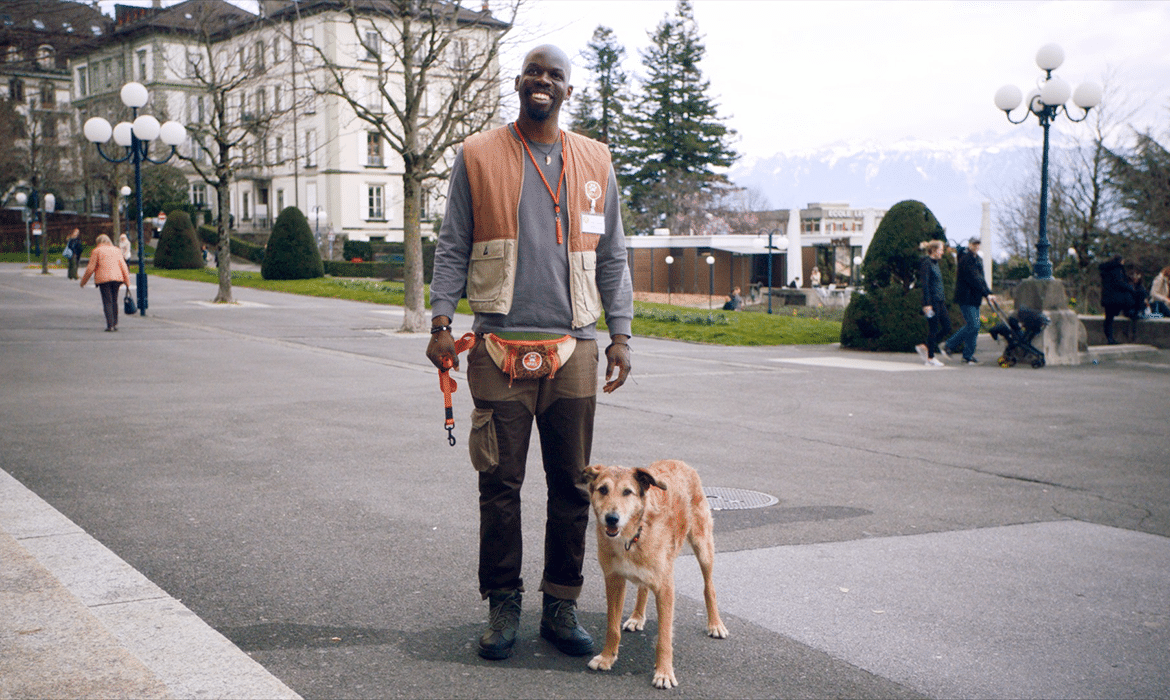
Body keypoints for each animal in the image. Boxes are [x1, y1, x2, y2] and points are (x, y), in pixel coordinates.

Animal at [580, 461, 725, 692]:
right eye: (603, 490)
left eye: (627, 492)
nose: (612, 518)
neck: (631, 537)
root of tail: (681, 463)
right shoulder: (614, 581)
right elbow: (612, 627)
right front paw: (607, 657)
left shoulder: (665, 589)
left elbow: (664, 638)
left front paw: (664, 672)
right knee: (643, 588)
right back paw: (637, 617)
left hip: (703, 548)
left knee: (708, 586)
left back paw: (715, 624)